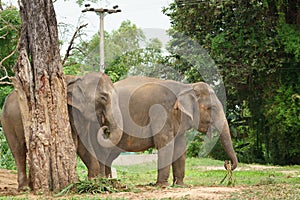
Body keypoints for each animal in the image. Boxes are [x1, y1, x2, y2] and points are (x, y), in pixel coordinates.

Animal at [97, 76, 238, 186]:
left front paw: (181, 185)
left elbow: (180, 146)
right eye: (210, 108)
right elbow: (165, 143)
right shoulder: (161, 111)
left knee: (110, 155)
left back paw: (110, 182)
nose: (227, 163)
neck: (186, 87)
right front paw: (162, 185)